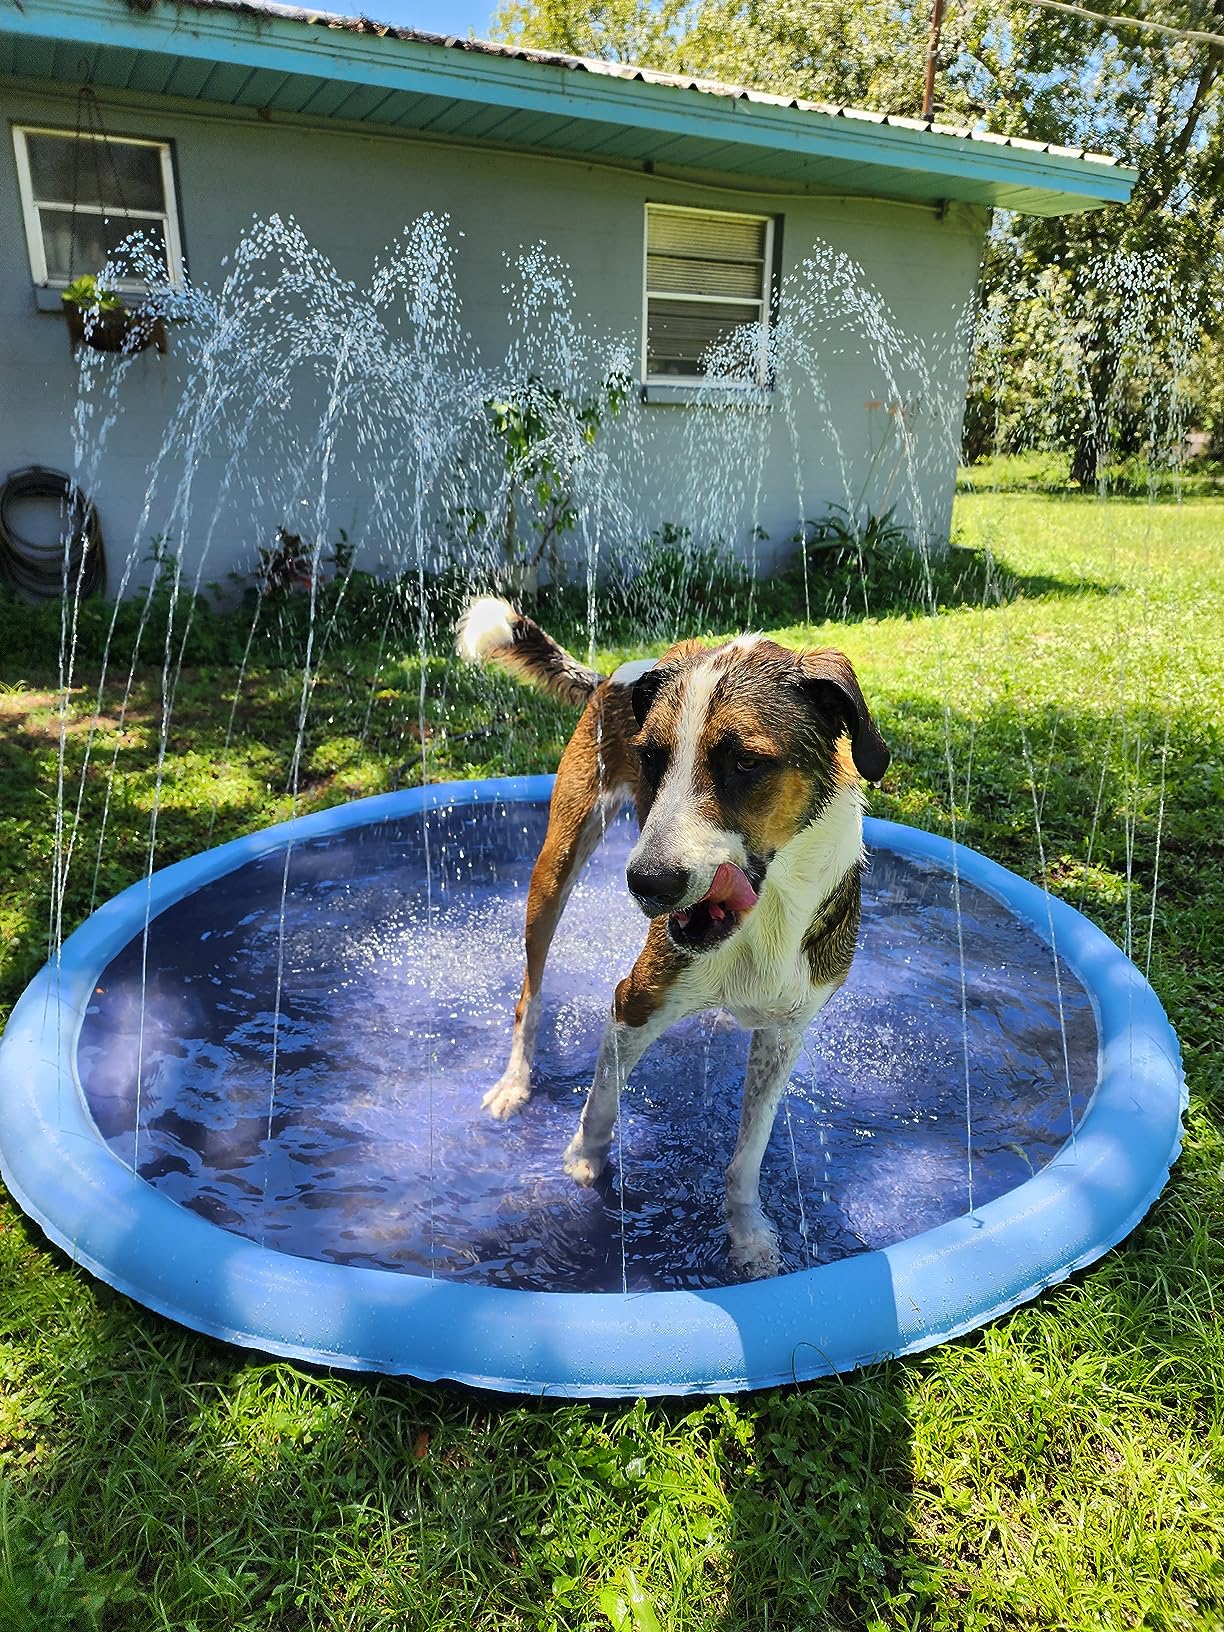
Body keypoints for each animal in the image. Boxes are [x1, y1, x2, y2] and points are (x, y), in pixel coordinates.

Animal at [456, 597, 887, 1272]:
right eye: (653, 759)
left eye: (745, 763)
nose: (648, 885)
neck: (767, 914)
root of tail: (617, 672)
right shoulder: (635, 1000)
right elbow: (603, 1097)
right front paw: (584, 1164)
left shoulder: (786, 1032)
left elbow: (749, 1152)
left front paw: (748, 1234)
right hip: (556, 863)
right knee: (530, 990)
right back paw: (514, 1083)